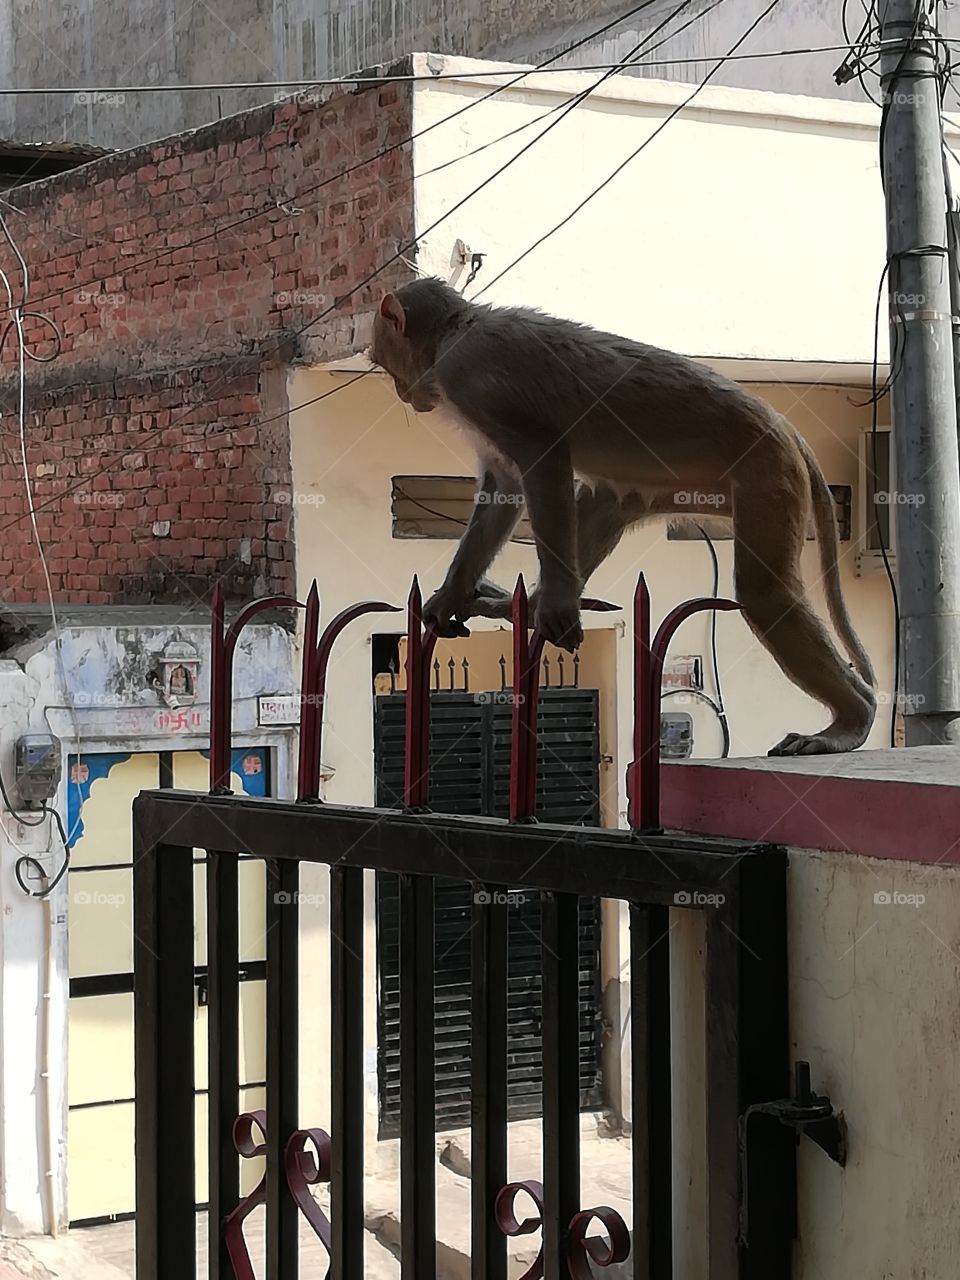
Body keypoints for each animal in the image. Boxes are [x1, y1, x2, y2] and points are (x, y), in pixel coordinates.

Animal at [369, 276, 876, 757]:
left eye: (380, 357)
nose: (401, 393)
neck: (457, 330)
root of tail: (788, 428)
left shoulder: (470, 372)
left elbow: (541, 456)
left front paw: (555, 603)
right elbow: (503, 487)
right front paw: (450, 596)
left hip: (766, 472)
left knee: (765, 591)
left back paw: (852, 720)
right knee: (605, 500)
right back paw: (522, 604)